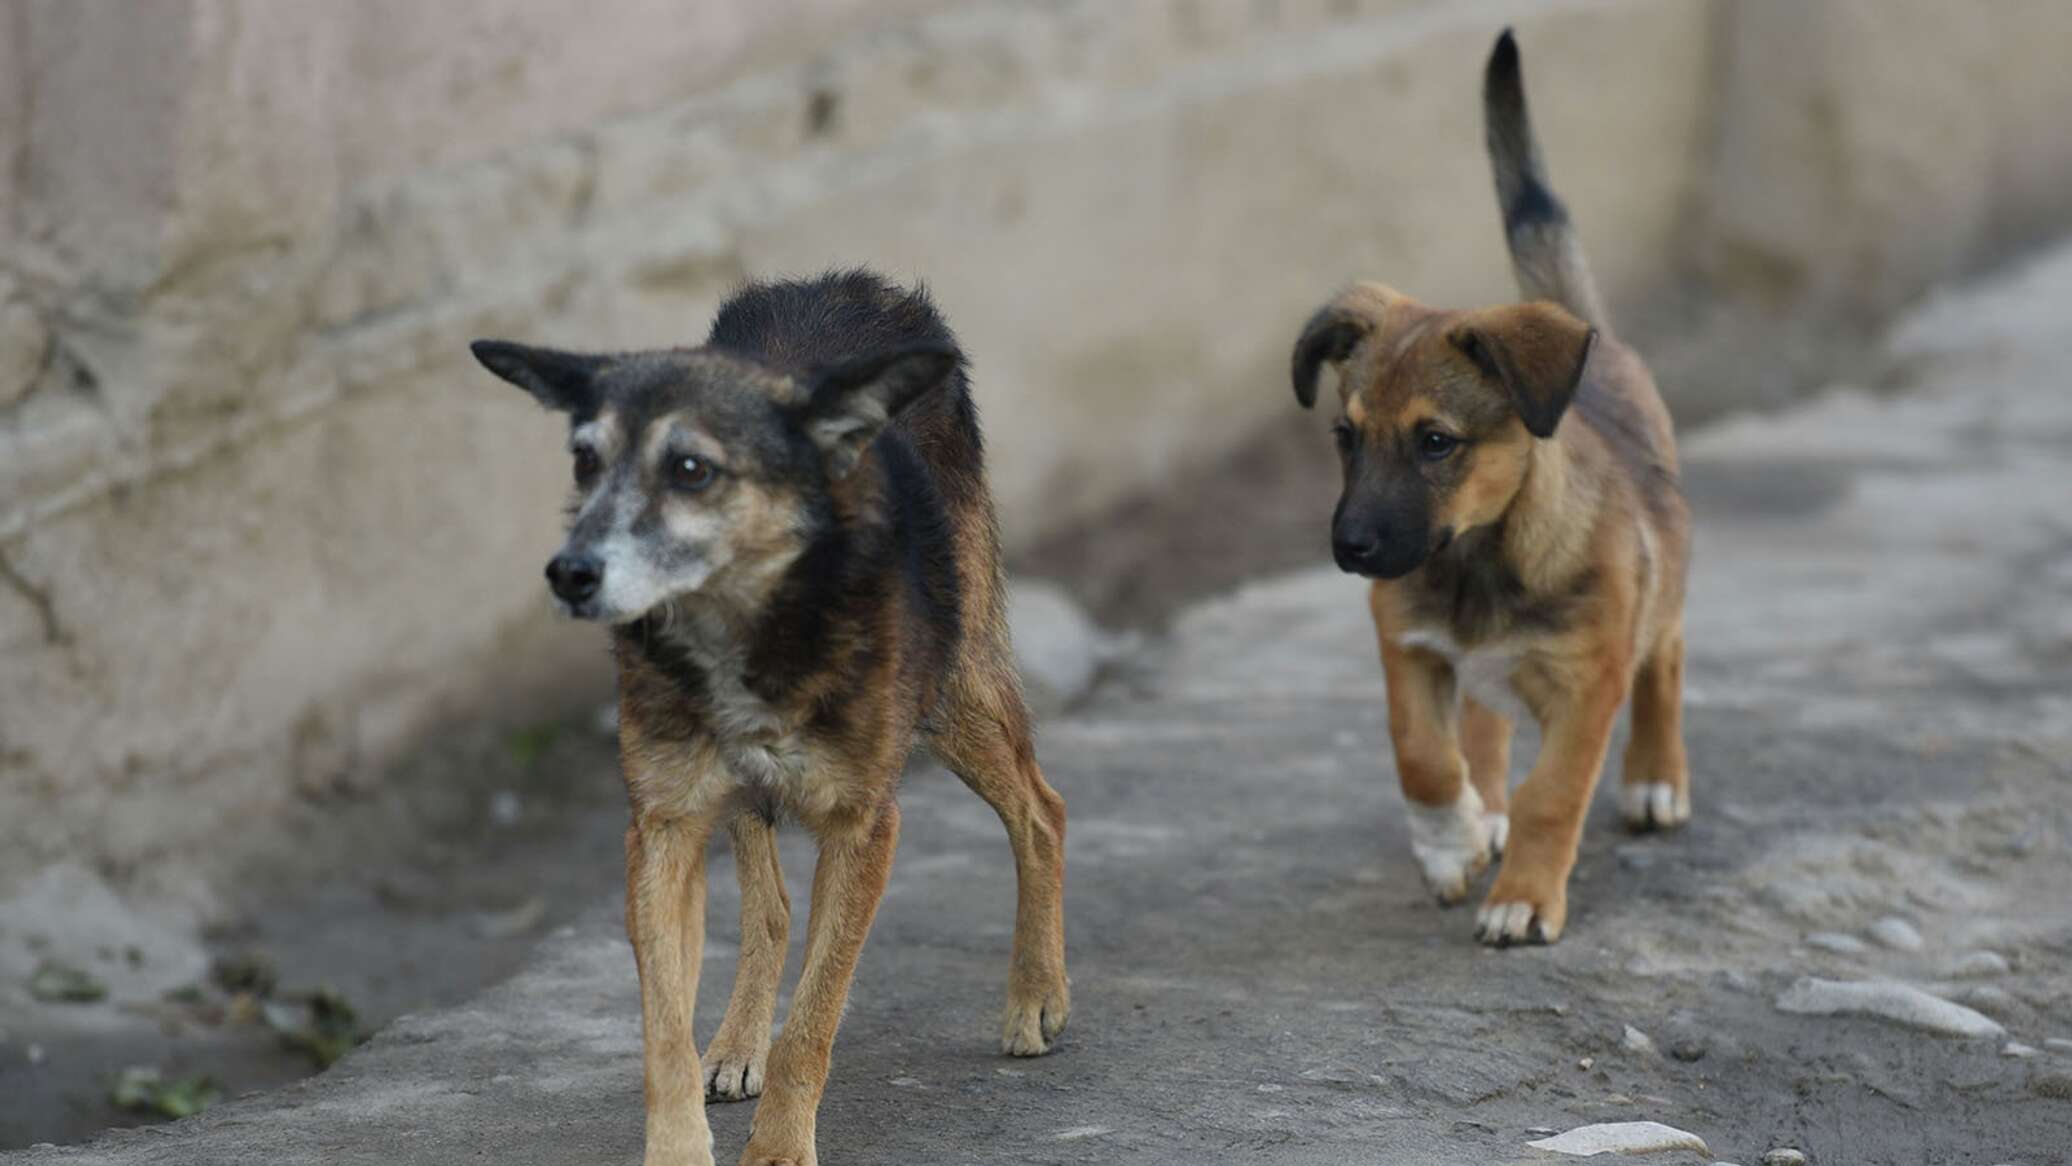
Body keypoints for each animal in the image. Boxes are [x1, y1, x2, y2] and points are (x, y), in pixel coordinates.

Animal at [472, 269, 1069, 1159]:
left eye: (691, 469)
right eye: (585, 459)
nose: (569, 574)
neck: (745, 634)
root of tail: (853, 284)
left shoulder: (864, 824)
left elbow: (813, 1024)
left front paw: (781, 1148)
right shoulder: (664, 826)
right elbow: (665, 1035)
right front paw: (681, 1143)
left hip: (954, 688)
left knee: (1041, 810)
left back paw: (1036, 995)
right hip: (748, 791)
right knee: (773, 910)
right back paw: (735, 1043)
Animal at [1284, 34, 1690, 948]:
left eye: (1436, 442)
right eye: (1345, 437)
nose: (1348, 548)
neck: (1478, 560)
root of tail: (1596, 344)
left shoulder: (1588, 685)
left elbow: (1554, 796)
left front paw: (1524, 898)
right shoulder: (1409, 648)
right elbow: (1425, 757)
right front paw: (1451, 842)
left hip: (1665, 590)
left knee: (1666, 659)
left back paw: (1655, 777)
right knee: (1485, 726)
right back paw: (1485, 810)